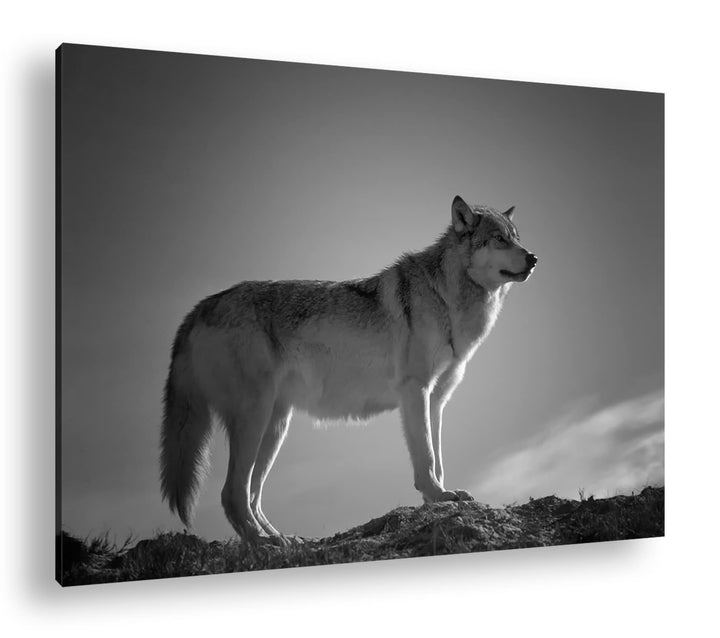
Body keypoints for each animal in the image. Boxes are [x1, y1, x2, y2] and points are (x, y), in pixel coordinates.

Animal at [160, 195, 537, 543]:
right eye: (499, 239)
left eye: (517, 238)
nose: (534, 258)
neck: (445, 296)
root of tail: (200, 307)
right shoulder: (415, 391)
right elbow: (427, 457)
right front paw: (437, 496)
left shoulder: (437, 400)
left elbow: (439, 459)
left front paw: (440, 499)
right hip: (255, 419)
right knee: (232, 493)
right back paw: (262, 543)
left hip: (275, 426)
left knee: (252, 494)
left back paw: (284, 540)